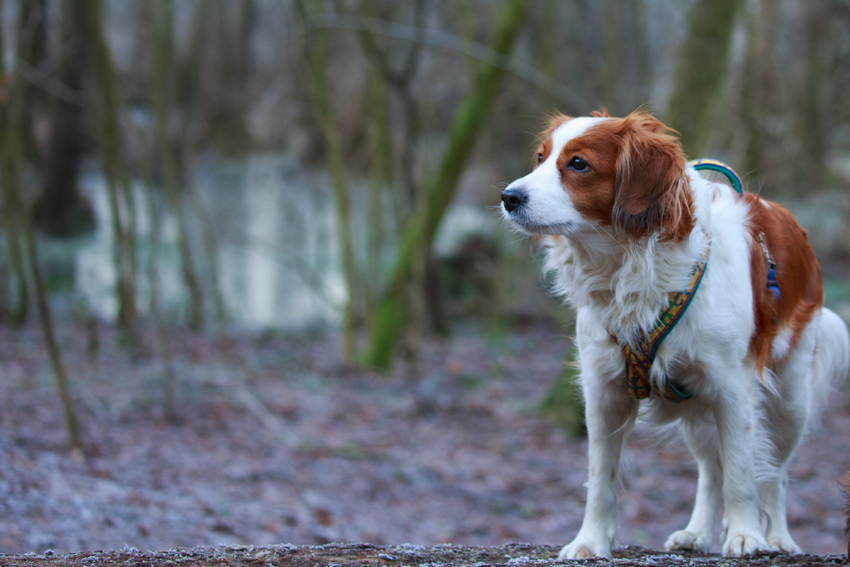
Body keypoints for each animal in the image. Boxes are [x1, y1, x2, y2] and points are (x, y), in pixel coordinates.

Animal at [496, 111, 848, 560]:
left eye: (578, 164)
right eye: (540, 158)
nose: (509, 196)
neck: (628, 266)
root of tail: (793, 227)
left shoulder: (733, 390)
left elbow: (741, 470)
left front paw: (745, 534)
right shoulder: (603, 391)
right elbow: (601, 476)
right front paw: (590, 541)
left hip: (790, 401)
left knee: (775, 472)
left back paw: (778, 538)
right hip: (697, 411)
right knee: (710, 471)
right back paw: (695, 533)